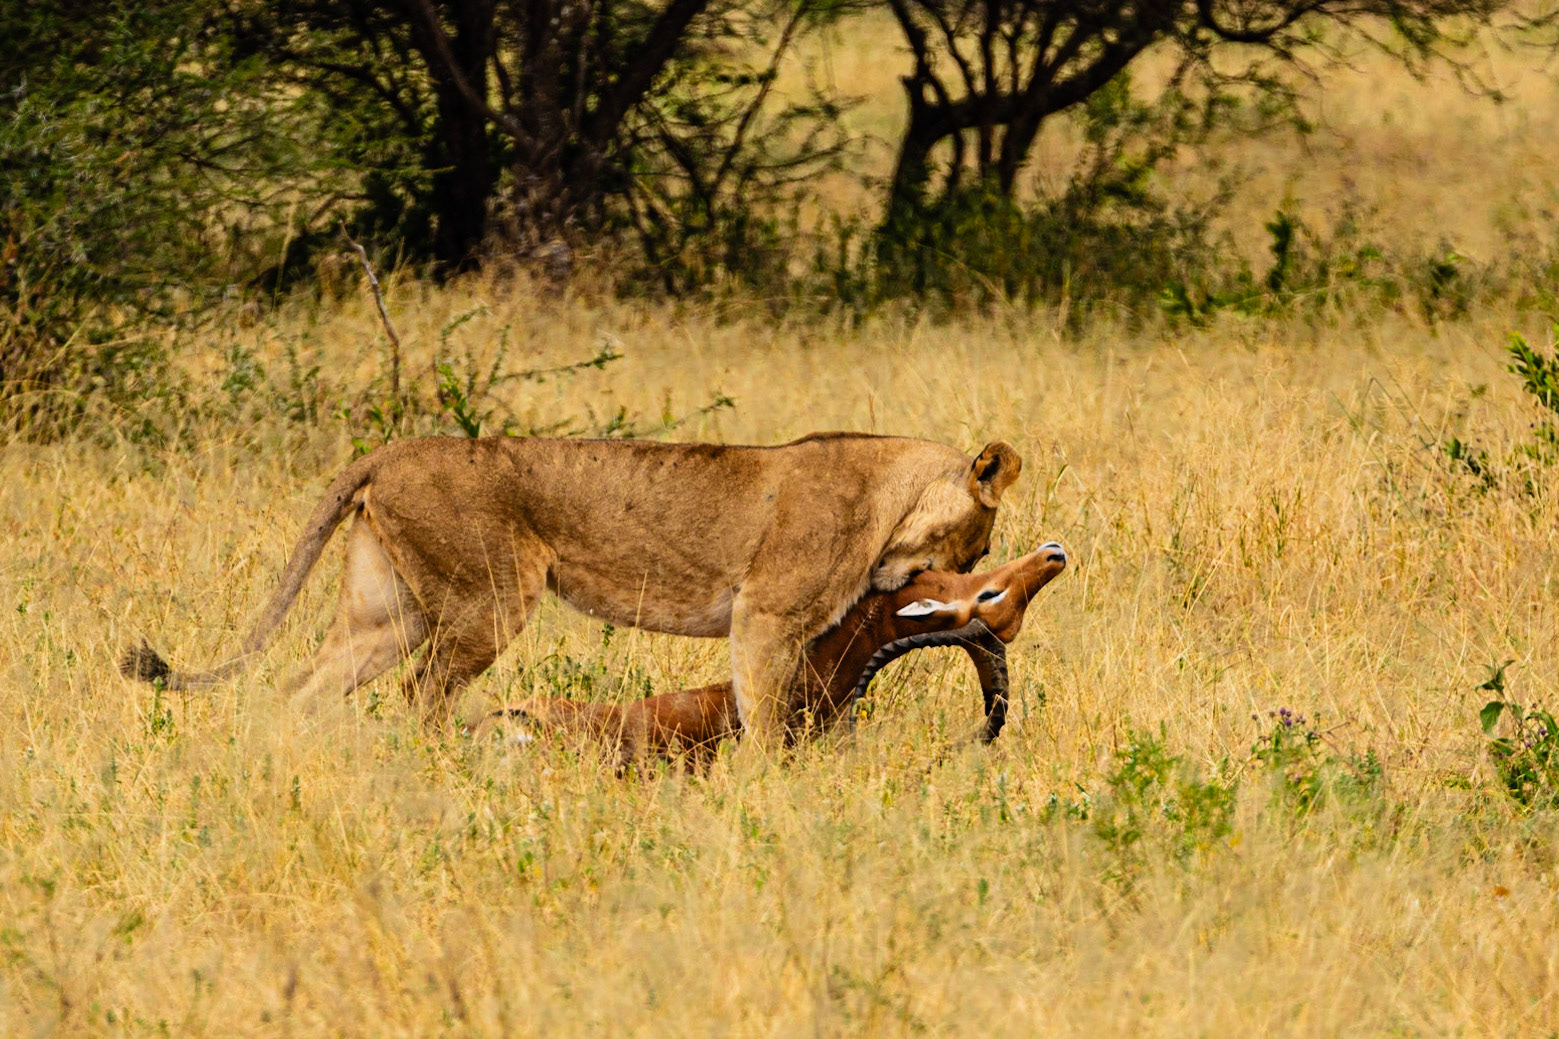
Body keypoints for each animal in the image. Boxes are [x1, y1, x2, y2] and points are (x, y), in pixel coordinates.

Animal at [121, 432, 1021, 743]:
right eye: (980, 543)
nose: (971, 573)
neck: (889, 494)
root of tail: (391, 449)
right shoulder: (761, 614)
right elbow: (764, 716)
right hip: (490, 597)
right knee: (420, 695)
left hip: (387, 612)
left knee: (300, 685)